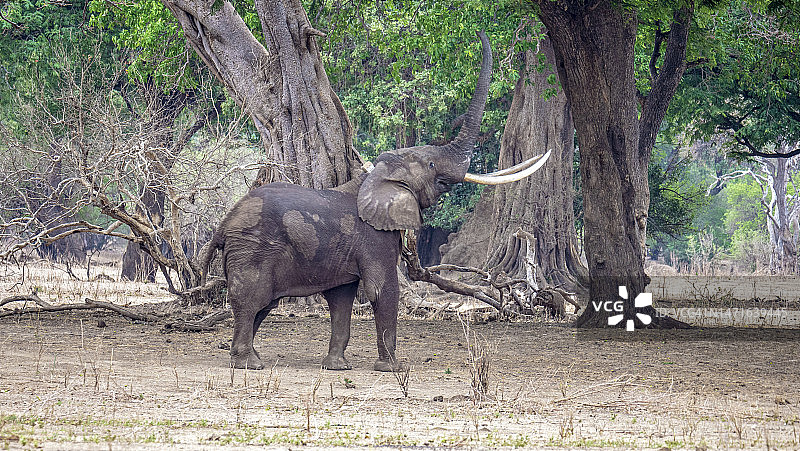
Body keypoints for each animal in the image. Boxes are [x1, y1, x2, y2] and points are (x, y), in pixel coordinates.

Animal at [201, 31, 550, 372]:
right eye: (431, 165)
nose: (479, 34)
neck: (375, 176)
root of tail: (223, 225)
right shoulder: (375, 237)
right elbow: (382, 289)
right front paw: (393, 369)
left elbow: (342, 297)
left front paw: (337, 368)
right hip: (253, 250)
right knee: (251, 300)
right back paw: (248, 364)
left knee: (263, 304)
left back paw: (251, 359)